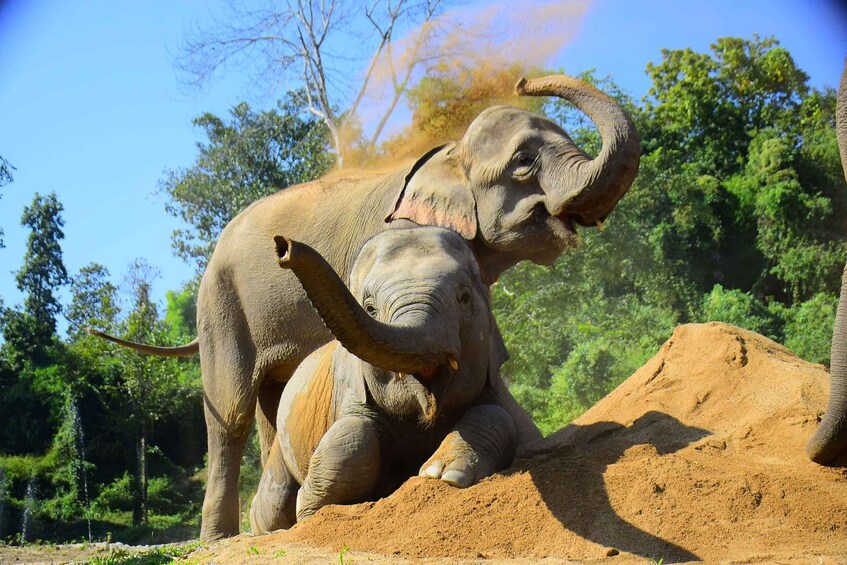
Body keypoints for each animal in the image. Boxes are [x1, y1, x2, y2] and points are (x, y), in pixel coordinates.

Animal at [248, 226, 520, 532]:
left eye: (464, 297)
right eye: (370, 308)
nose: (283, 247)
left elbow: (498, 414)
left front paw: (442, 474)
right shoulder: (351, 394)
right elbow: (356, 433)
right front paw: (311, 509)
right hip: (280, 451)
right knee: (272, 505)